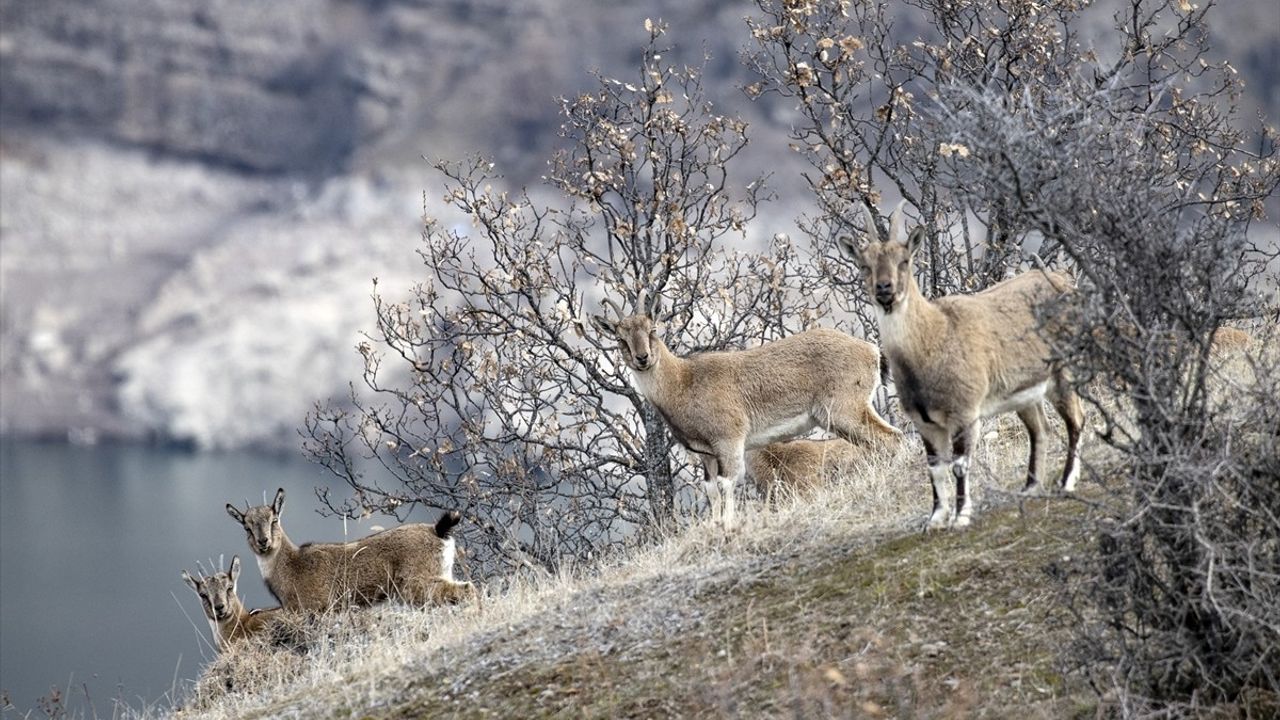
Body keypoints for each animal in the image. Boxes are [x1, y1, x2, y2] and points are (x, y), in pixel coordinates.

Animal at [225, 486, 476, 609]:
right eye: (247, 527)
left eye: (274, 520)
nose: (263, 542)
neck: (291, 568)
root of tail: (438, 530)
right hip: (439, 573)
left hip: (417, 581)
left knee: (466, 589)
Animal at [588, 289, 901, 520]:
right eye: (620, 338)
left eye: (653, 329)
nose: (642, 358)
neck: (683, 383)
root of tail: (870, 351)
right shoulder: (706, 454)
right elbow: (712, 490)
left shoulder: (729, 440)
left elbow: (727, 485)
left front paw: (728, 527)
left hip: (845, 410)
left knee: (891, 438)